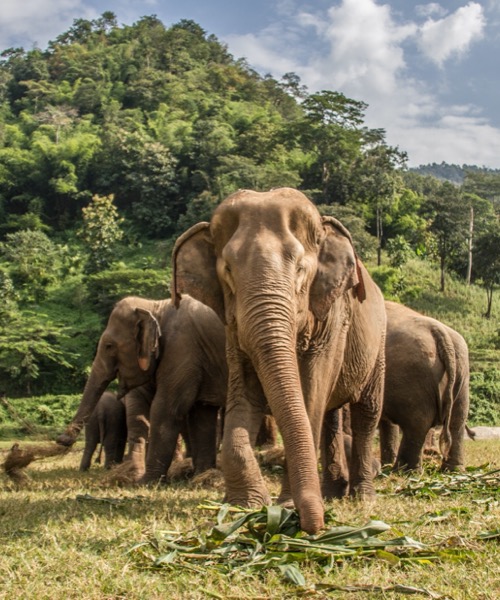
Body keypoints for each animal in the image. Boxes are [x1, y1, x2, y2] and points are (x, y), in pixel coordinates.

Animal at [56, 296, 227, 482]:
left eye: (109, 346)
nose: (62, 440)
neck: (156, 306)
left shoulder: (182, 351)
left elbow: (166, 409)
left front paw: (145, 482)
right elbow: (200, 413)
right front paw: (200, 477)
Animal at [172, 188, 386, 536]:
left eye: (300, 268)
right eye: (228, 270)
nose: (315, 527)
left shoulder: (332, 317)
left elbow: (311, 393)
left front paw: (284, 505)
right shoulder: (233, 328)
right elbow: (244, 393)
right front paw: (244, 506)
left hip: (378, 343)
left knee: (366, 412)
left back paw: (362, 498)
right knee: (331, 415)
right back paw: (332, 493)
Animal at [380, 302, 470, 472]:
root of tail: (440, 333)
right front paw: (384, 465)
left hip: (412, 376)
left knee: (417, 423)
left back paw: (404, 471)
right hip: (462, 372)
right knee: (458, 419)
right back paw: (452, 470)